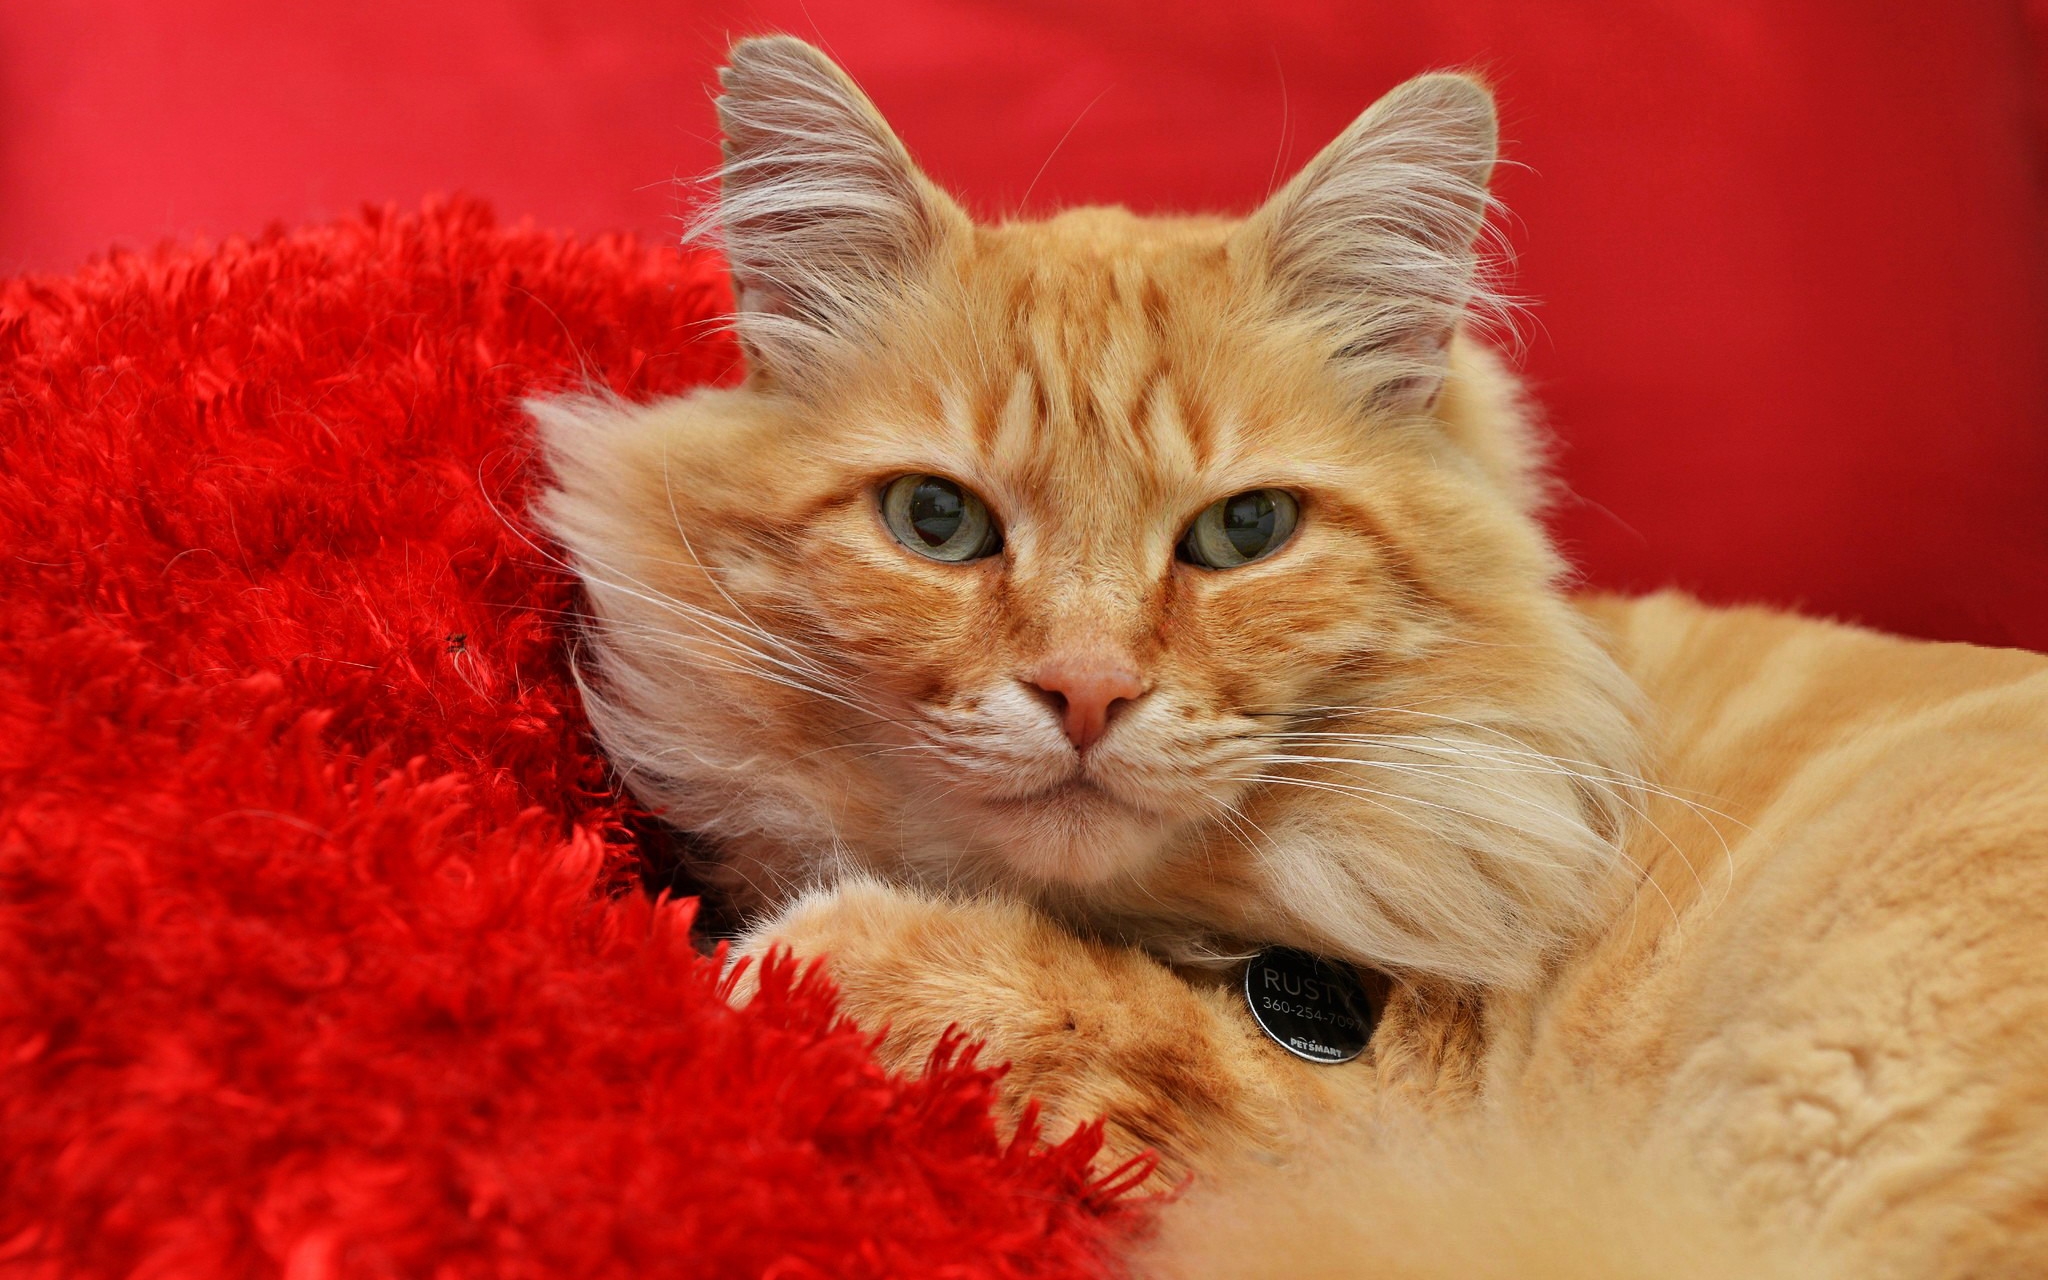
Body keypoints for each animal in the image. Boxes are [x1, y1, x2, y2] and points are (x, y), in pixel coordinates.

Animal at [532, 37, 2048, 1277]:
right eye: (935, 520)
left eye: (1244, 530)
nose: (1086, 688)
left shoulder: (1351, 1128)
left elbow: (1040, 1000)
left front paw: (780, 959)